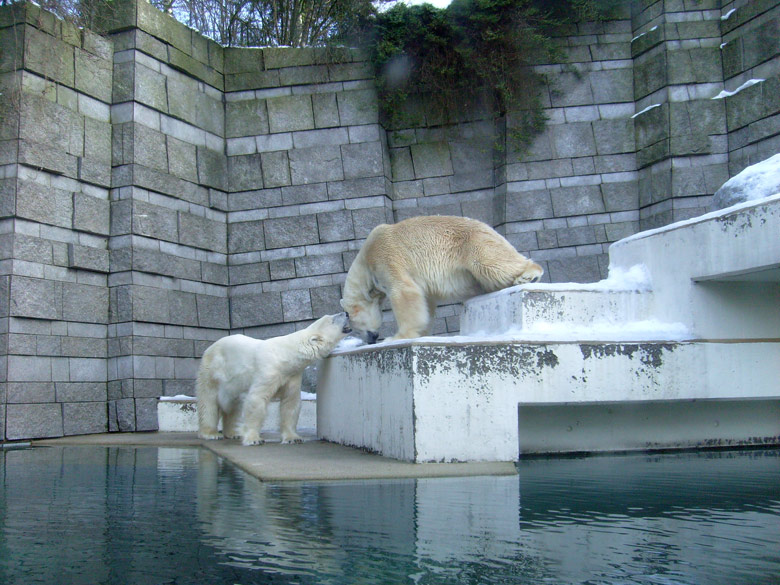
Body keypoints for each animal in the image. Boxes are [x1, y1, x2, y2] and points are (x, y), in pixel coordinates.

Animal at [197, 312, 352, 444]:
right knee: (208, 402)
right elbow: (257, 399)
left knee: (233, 406)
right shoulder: (268, 371)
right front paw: (253, 439)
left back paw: (233, 433)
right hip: (212, 372)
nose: (346, 313)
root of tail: (210, 348)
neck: (285, 355)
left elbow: (290, 403)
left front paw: (293, 438)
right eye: (332, 319)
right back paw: (211, 433)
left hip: (233, 384)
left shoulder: (293, 375)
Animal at [342, 214, 544, 342]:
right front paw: (421, 331)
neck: (365, 261)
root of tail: (489, 228)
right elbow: (425, 301)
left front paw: (398, 336)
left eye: (351, 327)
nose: (371, 339)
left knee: (492, 263)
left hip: (474, 243)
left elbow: (404, 292)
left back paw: (529, 275)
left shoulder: (386, 256)